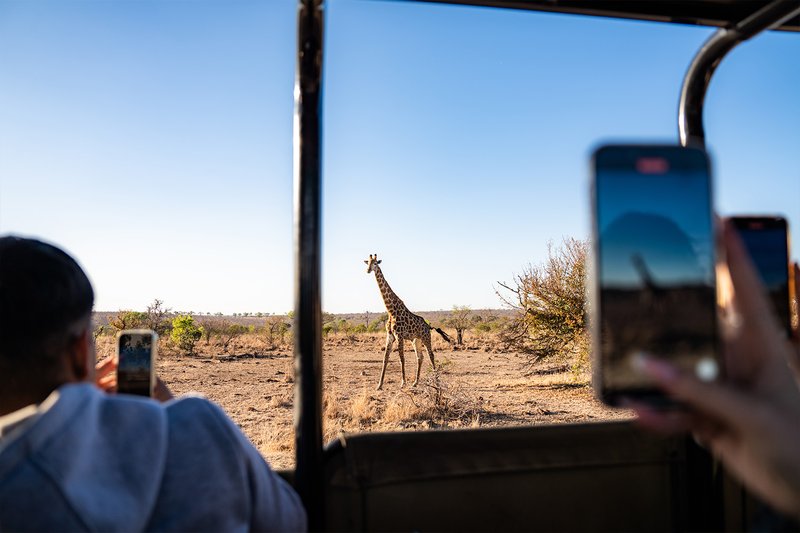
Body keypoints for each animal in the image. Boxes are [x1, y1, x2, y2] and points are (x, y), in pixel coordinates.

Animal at [364, 251, 450, 388]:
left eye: (376, 263)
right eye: (368, 263)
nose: (368, 270)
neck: (391, 310)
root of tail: (428, 326)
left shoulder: (399, 335)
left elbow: (401, 358)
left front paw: (403, 383)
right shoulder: (390, 336)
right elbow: (385, 359)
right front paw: (379, 385)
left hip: (426, 338)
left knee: (431, 355)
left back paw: (436, 381)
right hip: (416, 340)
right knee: (420, 357)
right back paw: (415, 382)